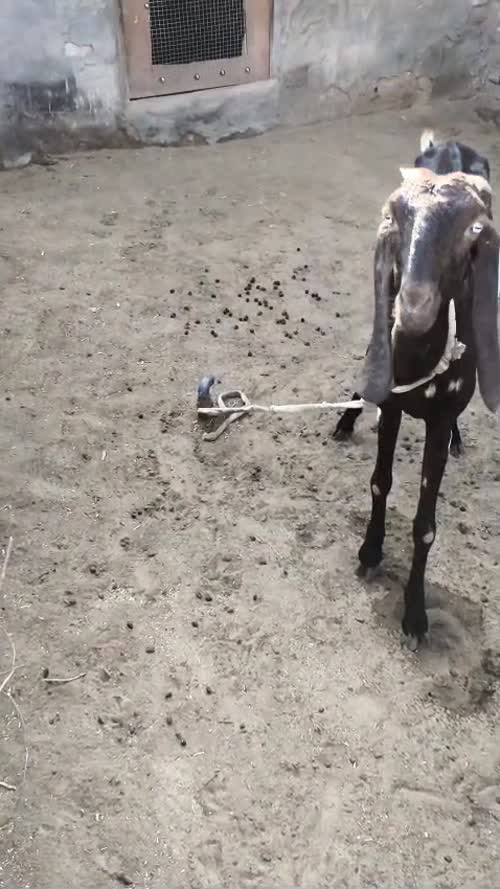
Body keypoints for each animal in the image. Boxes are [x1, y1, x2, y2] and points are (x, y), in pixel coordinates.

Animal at [355, 167, 500, 645]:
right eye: (394, 220)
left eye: (472, 232)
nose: (414, 309)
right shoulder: (392, 404)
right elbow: (380, 482)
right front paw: (370, 551)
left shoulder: (438, 419)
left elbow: (425, 526)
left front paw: (416, 615)